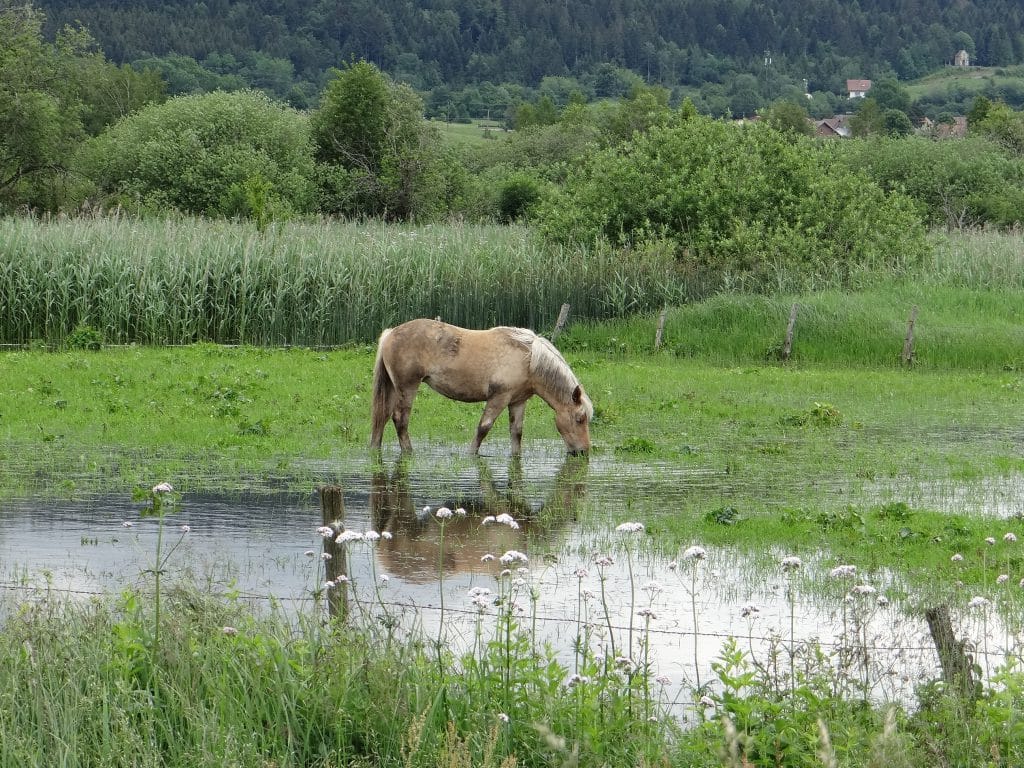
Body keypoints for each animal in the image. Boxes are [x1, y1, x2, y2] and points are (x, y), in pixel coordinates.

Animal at [368, 319, 593, 456]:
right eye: (579, 418)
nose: (583, 451)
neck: (528, 358)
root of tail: (390, 333)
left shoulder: (517, 401)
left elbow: (516, 433)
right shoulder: (499, 398)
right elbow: (483, 428)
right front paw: (471, 454)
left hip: (393, 389)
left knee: (382, 417)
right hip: (407, 388)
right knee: (400, 419)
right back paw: (409, 452)